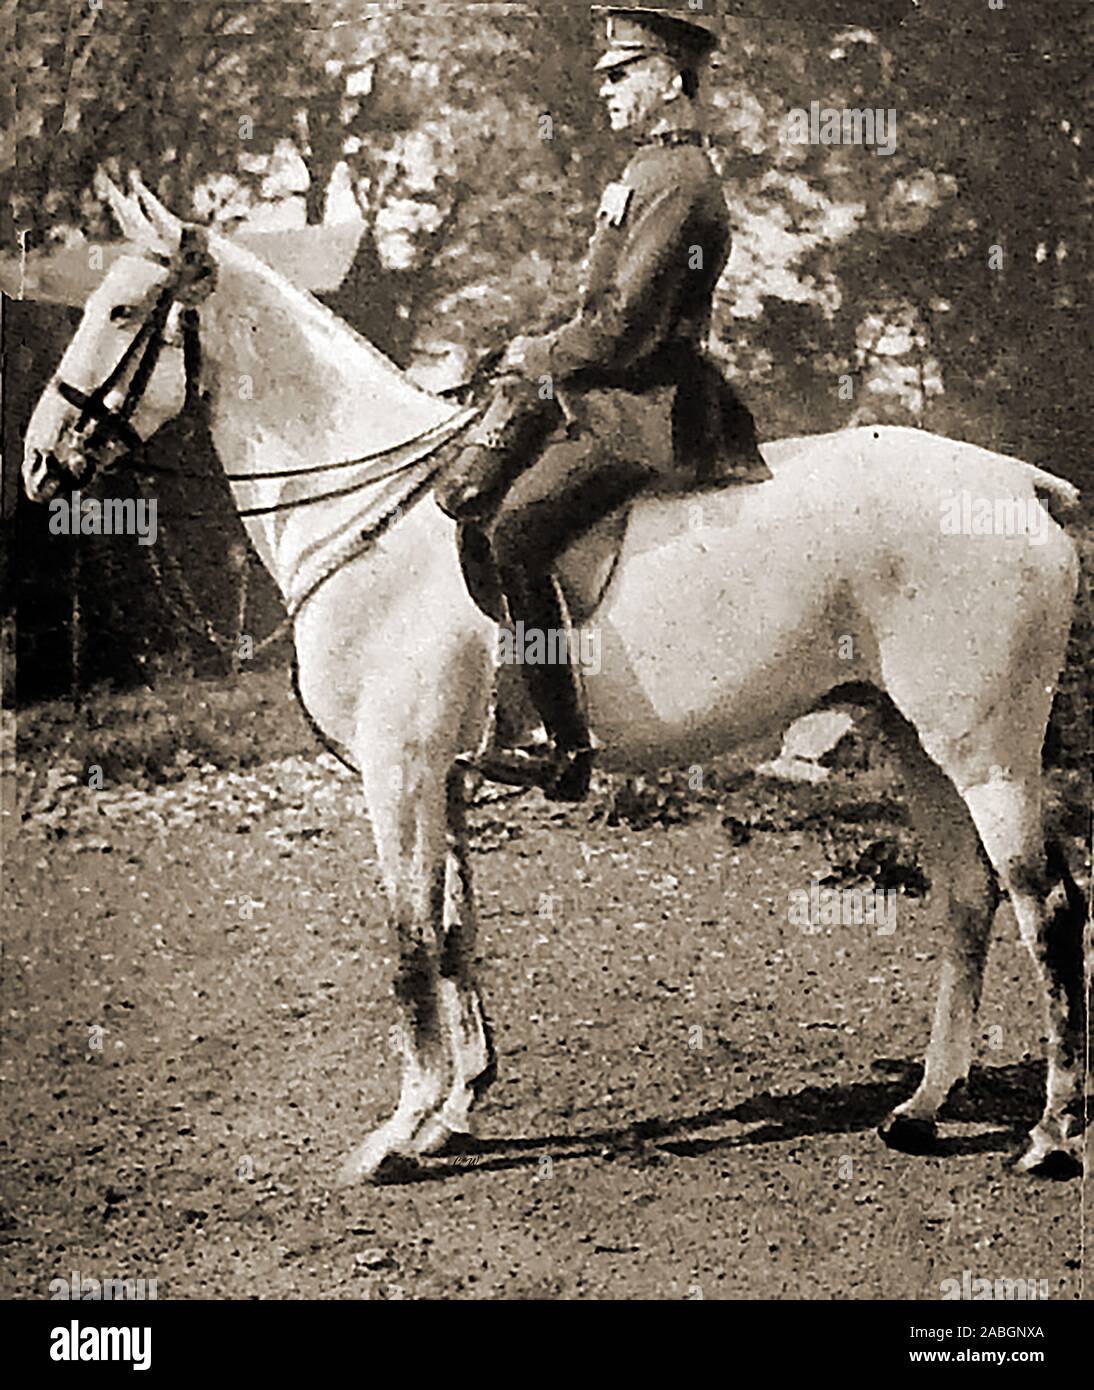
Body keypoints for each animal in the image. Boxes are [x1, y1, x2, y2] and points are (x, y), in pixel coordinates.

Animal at [23, 179, 1084, 1184]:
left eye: (123, 310)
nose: (40, 464)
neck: (374, 517)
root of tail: (1024, 484)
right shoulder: (443, 777)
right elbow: (455, 934)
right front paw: (452, 1111)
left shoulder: (398, 771)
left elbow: (408, 944)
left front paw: (398, 1134)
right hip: (913, 742)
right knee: (968, 901)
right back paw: (923, 1108)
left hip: (986, 755)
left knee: (1047, 910)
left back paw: (1052, 1134)